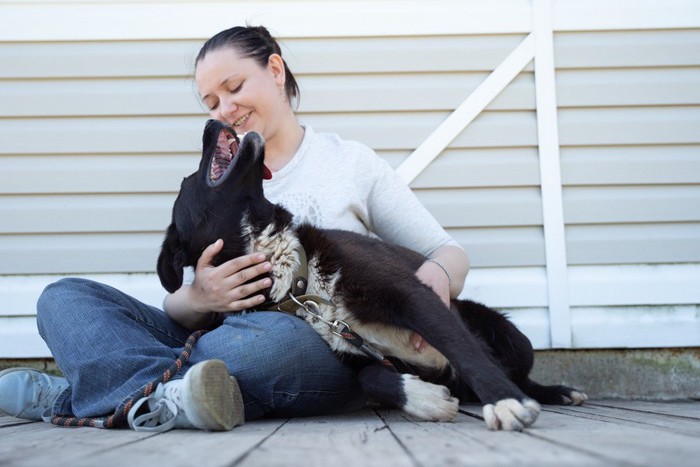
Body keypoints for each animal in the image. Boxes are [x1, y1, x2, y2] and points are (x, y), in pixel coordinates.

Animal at [157, 119, 584, 432]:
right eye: (187, 181)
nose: (211, 121)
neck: (299, 279)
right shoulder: (349, 350)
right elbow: (371, 378)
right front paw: (425, 399)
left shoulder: (412, 296)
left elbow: (462, 348)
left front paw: (505, 402)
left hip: (515, 338)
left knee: (516, 370)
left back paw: (554, 392)